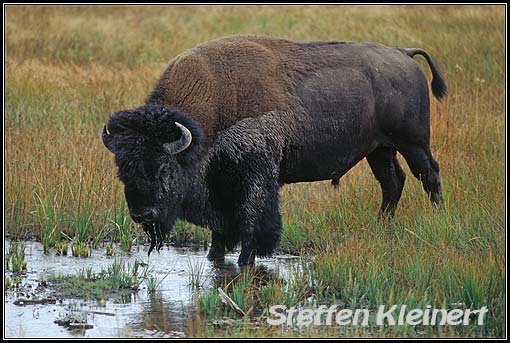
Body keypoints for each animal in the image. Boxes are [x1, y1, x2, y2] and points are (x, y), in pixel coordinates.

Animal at [102, 34, 446, 266]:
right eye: (122, 170)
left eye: (164, 168)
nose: (141, 214)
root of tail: (403, 54)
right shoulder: (220, 188)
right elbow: (221, 228)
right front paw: (215, 256)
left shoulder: (256, 178)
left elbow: (253, 220)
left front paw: (247, 259)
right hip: (379, 150)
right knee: (392, 182)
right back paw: (381, 224)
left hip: (412, 143)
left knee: (428, 174)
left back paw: (437, 216)